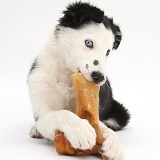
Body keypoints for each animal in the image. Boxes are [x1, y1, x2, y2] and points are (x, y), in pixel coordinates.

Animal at [28, 1, 130, 160]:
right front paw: (81, 130)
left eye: (107, 52)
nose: (100, 78)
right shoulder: (42, 110)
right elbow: (62, 113)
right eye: (89, 43)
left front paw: (114, 145)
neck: (66, 75)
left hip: (121, 113)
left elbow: (105, 128)